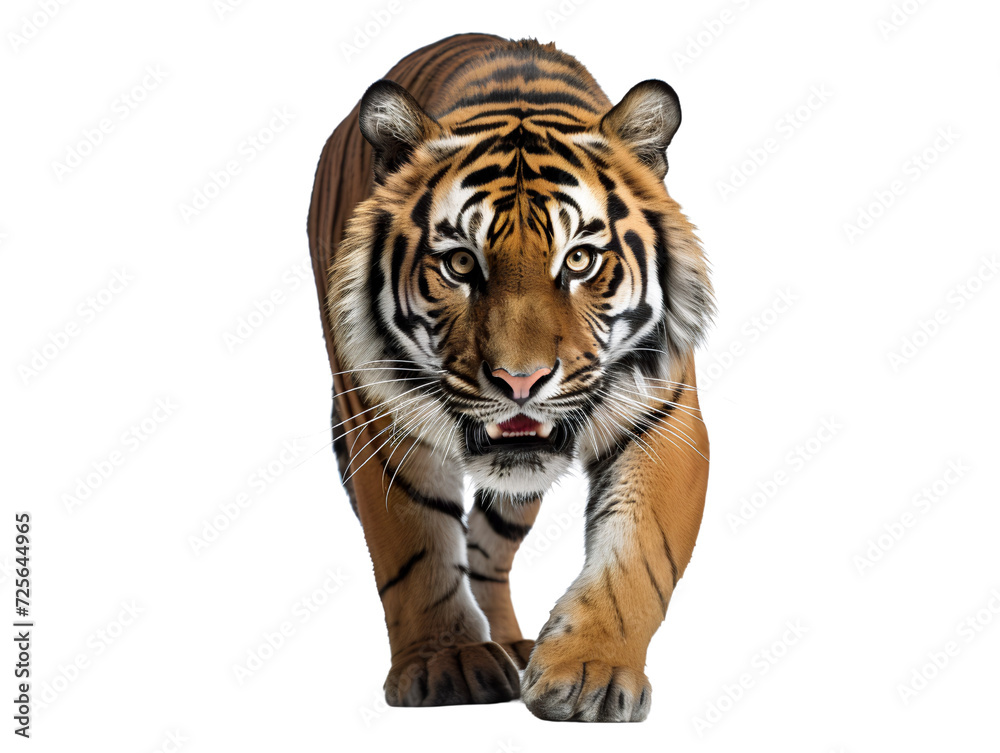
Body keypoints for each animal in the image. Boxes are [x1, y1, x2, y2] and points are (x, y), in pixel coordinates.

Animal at [306, 33, 713, 722]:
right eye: (460, 264)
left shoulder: (665, 419)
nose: (520, 382)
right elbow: (415, 548)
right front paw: (445, 662)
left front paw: (589, 673)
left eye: (579, 259)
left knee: (487, 548)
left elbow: (637, 554)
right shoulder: (382, 421)